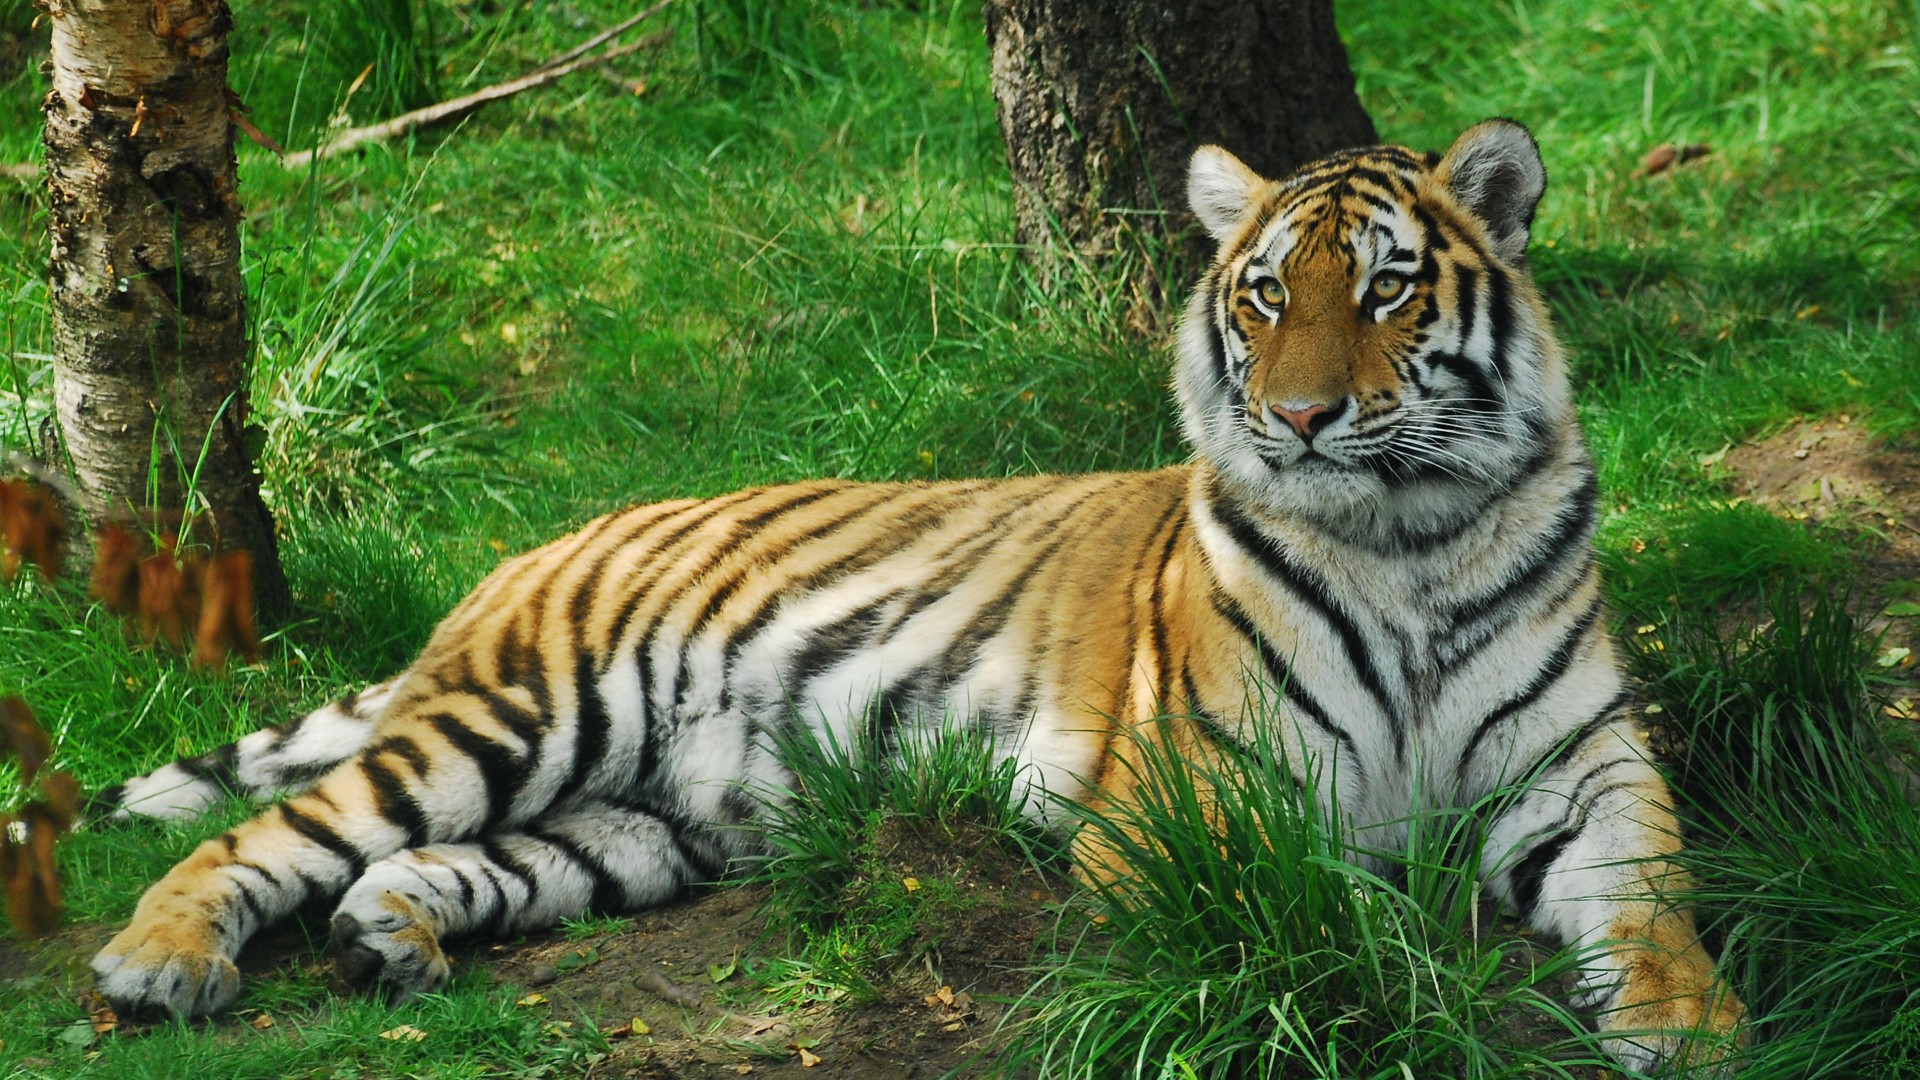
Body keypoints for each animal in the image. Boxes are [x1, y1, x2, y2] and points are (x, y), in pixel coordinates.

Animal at [91, 119, 1743, 1073]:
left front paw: (1691, 1027)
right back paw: (158, 965)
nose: (1299, 417)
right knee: (271, 835)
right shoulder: (1202, 799)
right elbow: (1323, 923)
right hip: (522, 716)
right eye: (1269, 294)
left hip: (648, 823)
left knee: (428, 866)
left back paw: (390, 943)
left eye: (1389, 289)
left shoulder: (1584, 770)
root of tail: (527, 549)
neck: (1411, 542)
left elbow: (1655, 899)